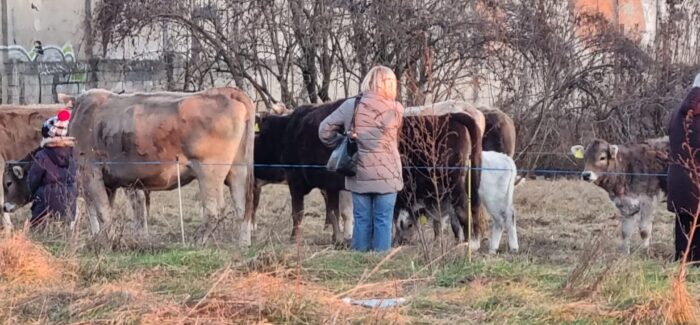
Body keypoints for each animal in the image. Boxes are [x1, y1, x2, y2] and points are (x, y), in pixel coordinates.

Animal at [66, 87, 254, 244]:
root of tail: (226, 91)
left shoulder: (90, 171)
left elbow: (101, 211)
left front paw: (108, 241)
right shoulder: (108, 182)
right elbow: (100, 209)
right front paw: (99, 238)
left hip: (209, 171)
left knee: (214, 210)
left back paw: (196, 241)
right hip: (238, 170)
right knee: (242, 206)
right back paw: (243, 244)